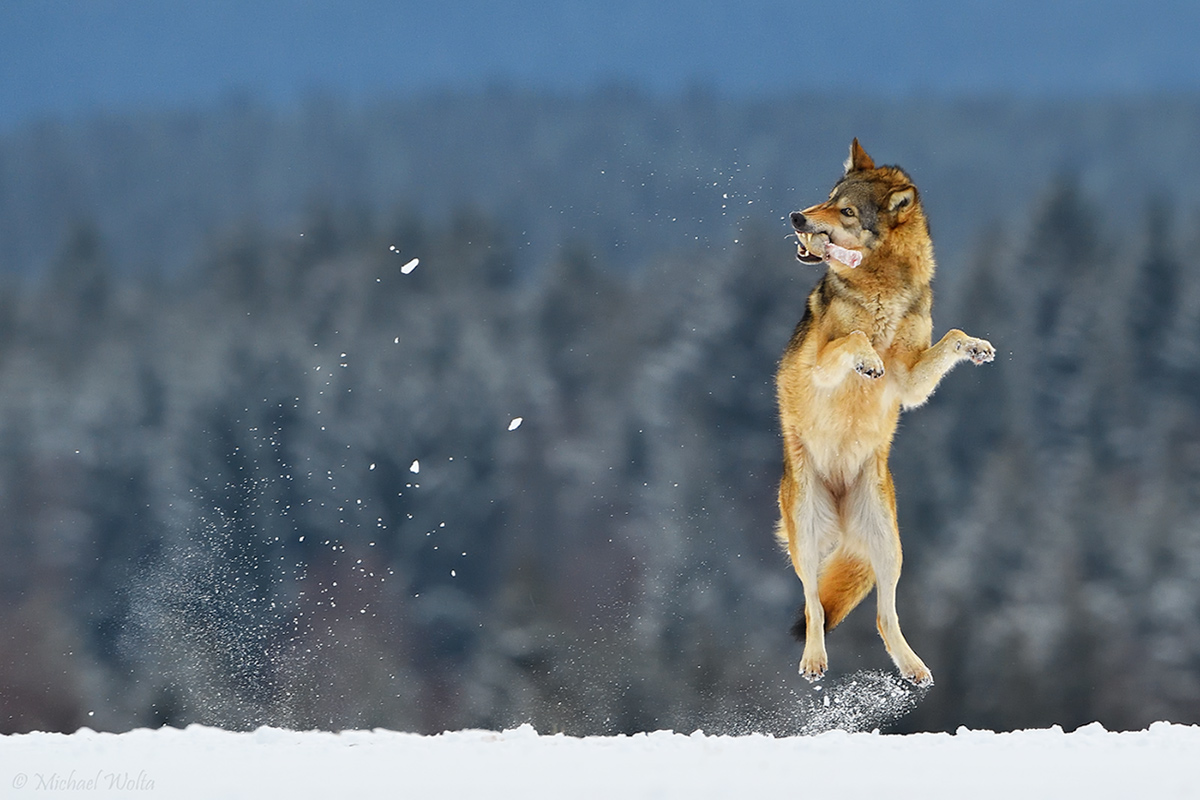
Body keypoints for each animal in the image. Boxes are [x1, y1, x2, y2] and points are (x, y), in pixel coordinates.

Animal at [777, 140, 993, 686]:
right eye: (826, 199)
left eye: (846, 212)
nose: (796, 218)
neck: (881, 288)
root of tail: (841, 520)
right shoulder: (818, 367)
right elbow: (854, 338)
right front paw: (867, 359)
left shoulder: (909, 383)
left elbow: (952, 335)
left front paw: (976, 347)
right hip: (807, 536)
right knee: (813, 605)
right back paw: (814, 661)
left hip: (889, 548)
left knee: (883, 615)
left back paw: (914, 667)